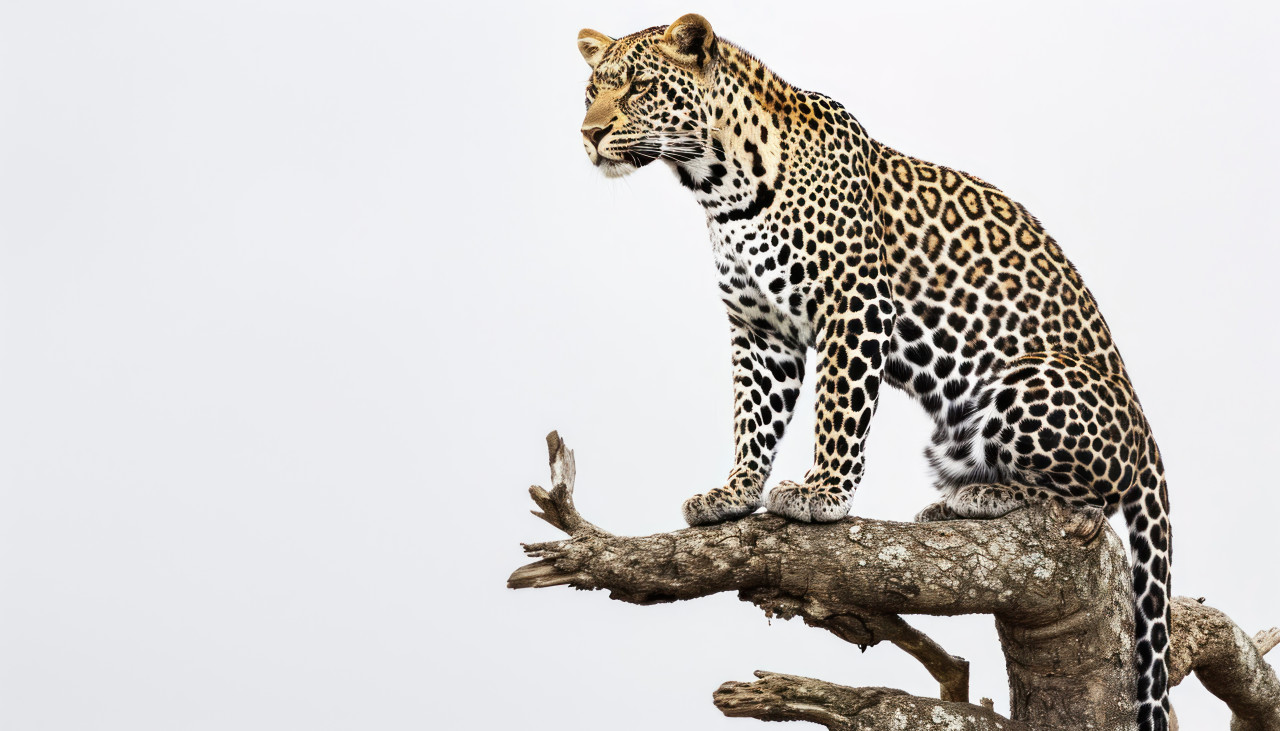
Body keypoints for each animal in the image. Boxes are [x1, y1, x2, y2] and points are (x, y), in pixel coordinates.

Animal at [576, 14, 1172, 731]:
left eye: (638, 87)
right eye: (591, 91)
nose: (588, 135)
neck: (719, 184)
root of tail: (1147, 431)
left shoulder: (855, 305)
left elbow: (838, 411)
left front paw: (821, 496)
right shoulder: (760, 331)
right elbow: (755, 418)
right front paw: (734, 494)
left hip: (1028, 382)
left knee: (1094, 497)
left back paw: (982, 499)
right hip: (953, 435)